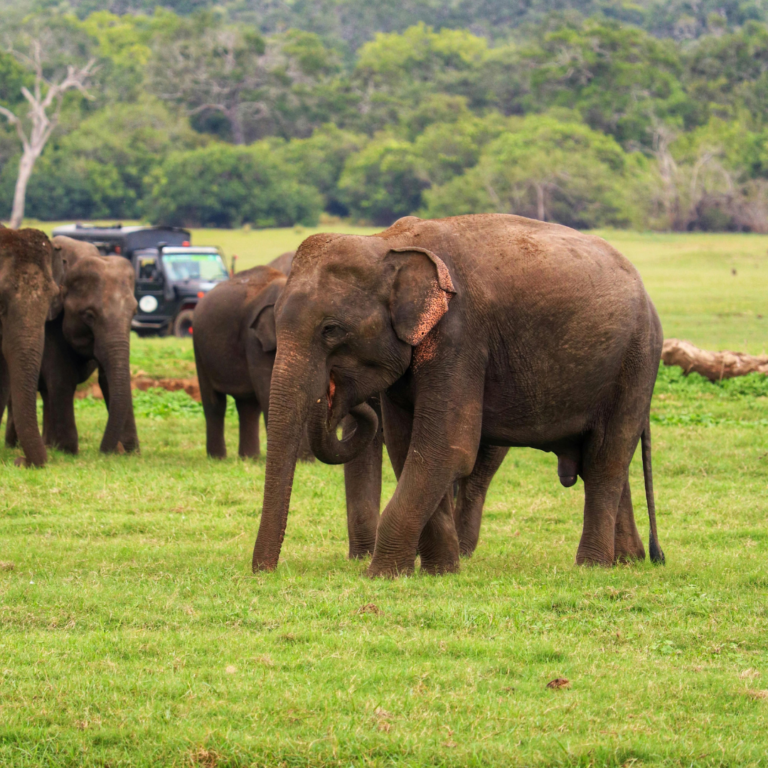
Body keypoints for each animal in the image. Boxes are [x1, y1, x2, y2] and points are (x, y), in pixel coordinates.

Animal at [6, 236, 139, 455]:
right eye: (89, 315)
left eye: (134, 313)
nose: (105, 452)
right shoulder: (51, 323)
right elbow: (62, 376)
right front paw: (68, 451)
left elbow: (107, 378)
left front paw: (131, 453)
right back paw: (16, 446)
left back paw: (47, 445)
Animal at [251, 214, 665, 577]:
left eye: (331, 330)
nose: (263, 573)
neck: (388, 242)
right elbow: (407, 448)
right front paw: (441, 571)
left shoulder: (460, 335)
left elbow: (445, 448)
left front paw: (382, 575)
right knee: (605, 460)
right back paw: (627, 560)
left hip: (637, 361)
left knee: (607, 458)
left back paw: (592, 566)